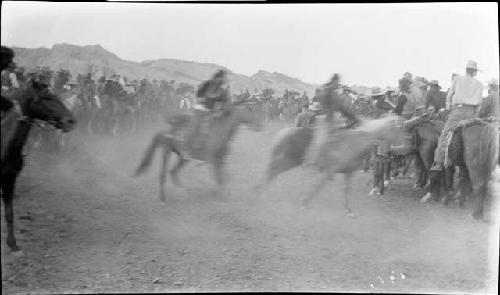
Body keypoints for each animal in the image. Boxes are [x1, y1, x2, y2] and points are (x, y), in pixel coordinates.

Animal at [133, 103, 266, 202]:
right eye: (250, 111)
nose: (260, 125)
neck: (220, 132)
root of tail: (168, 130)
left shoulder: (221, 160)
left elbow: (224, 178)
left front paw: (222, 194)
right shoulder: (212, 160)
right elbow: (219, 178)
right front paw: (219, 195)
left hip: (182, 158)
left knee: (173, 172)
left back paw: (183, 192)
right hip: (167, 151)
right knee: (163, 174)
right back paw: (163, 198)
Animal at [254, 113, 406, 217]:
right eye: (398, 128)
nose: (404, 145)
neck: (353, 143)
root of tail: (284, 133)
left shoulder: (348, 172)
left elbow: (346, 190)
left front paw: (349, 211)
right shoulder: (328, 171)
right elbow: (317, 187)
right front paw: (304, 203)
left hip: (290, 162)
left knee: (273, 172)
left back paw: (260, 193)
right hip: (287, 160)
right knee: (272, 171)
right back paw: (260, 193)